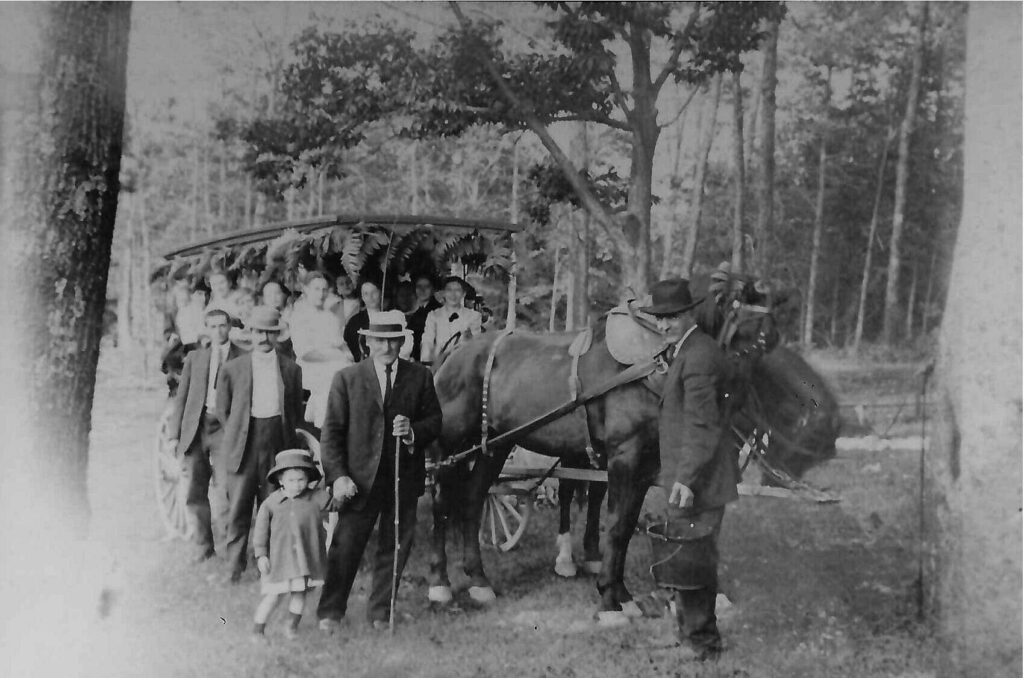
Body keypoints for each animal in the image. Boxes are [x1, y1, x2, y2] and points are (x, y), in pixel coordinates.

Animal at [425, 276, 783, 623]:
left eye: (771, 340)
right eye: (747, 332)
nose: (739, 407)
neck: (651, 365)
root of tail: (453, 353)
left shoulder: (645, 465)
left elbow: (625, 526)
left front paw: (621, 594)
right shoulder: (625, 458)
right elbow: (616, 525)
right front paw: (610, 600)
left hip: (494, 446)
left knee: (473, 499)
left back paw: (479, 581)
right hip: (449, 447)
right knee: (441, 502)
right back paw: (440, 583)